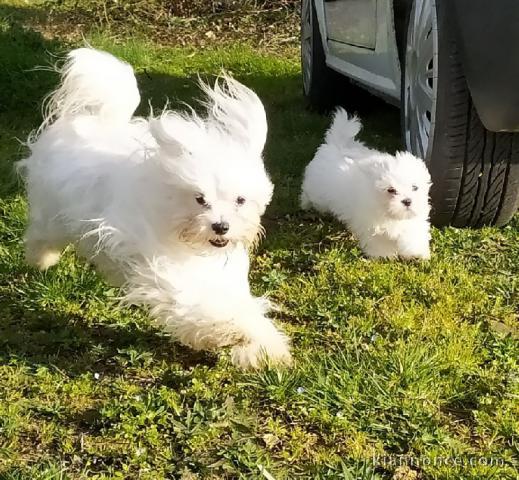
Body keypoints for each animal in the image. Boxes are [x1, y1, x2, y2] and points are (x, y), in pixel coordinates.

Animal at [20, 47, 292, 368]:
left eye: (240, 200)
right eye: (200, 198)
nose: (221, 226)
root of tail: (86, 119)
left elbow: (240, 304)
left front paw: (264, 347)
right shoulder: (162, 266)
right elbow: (196, 304)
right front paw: (231, 331)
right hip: (52, 213)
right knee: (41, 235)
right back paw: (42, 259)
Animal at [302, 109, 432, 258]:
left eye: (415, 187)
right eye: (391, 190)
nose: (407, 201)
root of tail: (335, 144)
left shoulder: (413, 219)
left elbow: (413, 233)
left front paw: (416, 252)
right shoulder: (370, 225)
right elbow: (379, 240)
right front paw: (384, 254)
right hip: (317, 192)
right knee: (309, 194)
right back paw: (305, 204)